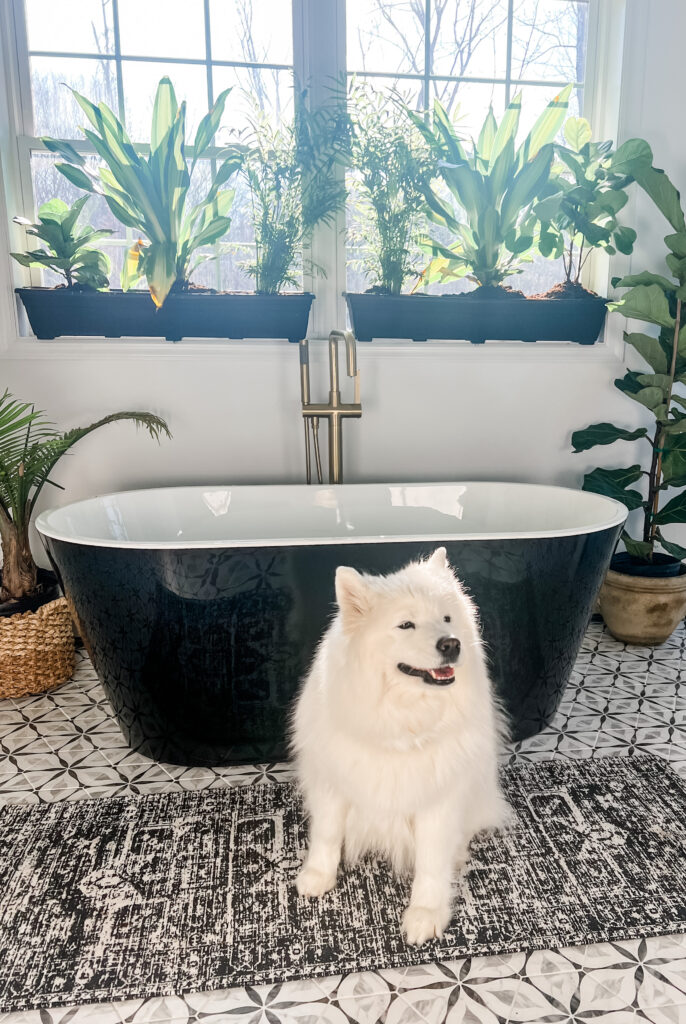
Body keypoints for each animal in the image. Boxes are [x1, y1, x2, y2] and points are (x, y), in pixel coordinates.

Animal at [290, 548, 509, 946]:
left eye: (447, 618)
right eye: (406, 625)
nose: (451, 644)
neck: (402, 724)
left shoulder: (438, 801)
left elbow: (431, 863)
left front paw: (426, 913)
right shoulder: (332, 784)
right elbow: (326, 835)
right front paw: (317, 877)